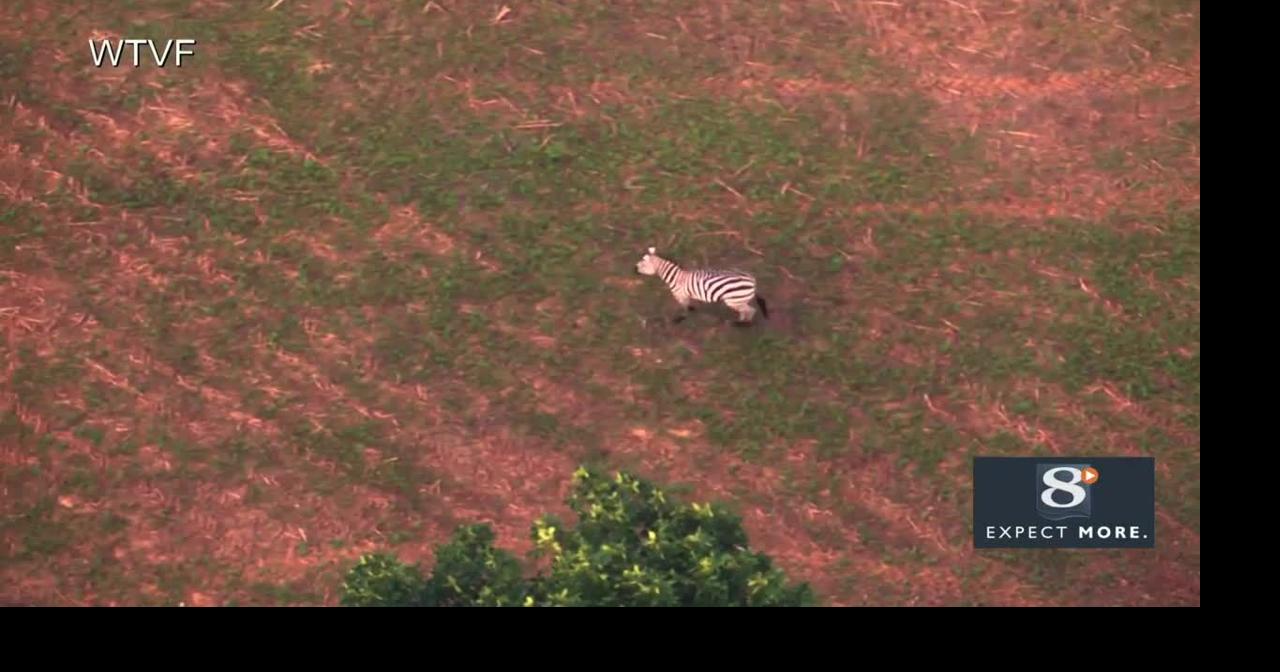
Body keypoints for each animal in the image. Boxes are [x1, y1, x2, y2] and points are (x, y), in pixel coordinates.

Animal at [634, 246, 769, 326]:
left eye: (642, 265)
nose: (634, 270)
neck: (676, 277)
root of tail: (752, 280)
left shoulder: (681, 295)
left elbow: (684, 308)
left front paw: (680, 319)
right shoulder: (686, 295)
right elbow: (688, 305)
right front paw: (691, 310)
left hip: (734, 300)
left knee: (750, 311)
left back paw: (742, 325)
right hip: (739, 300)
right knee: (745, 311)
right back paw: (739, 321)